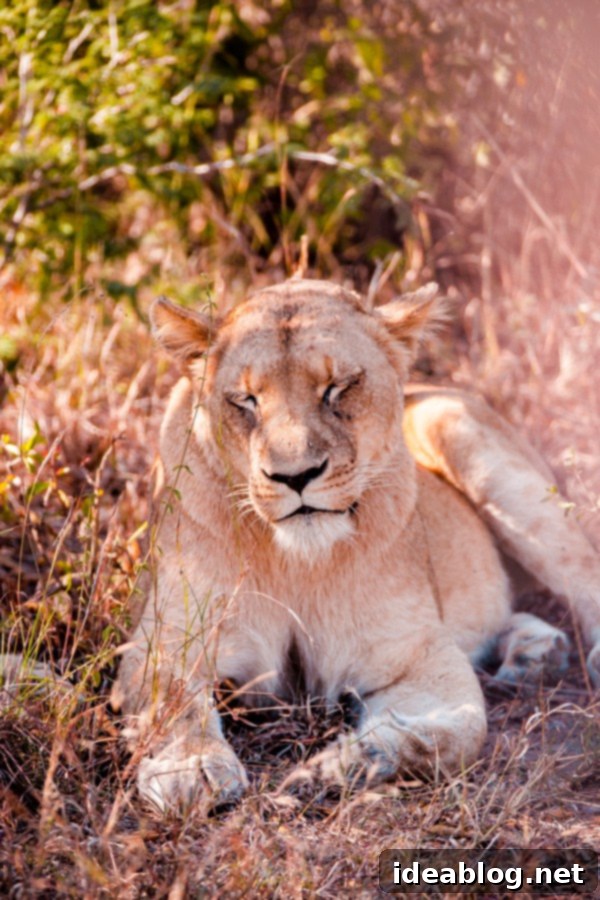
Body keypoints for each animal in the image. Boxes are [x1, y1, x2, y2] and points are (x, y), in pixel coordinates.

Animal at [112, 278, 600, 814]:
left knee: (581, 570)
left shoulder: (416, 654)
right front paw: (192, 768)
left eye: (338, 386)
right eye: (246, 399)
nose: (295, 476)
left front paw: (345, 764)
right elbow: (172, 705)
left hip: (461, 435)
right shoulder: (164, 643)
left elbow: (461, 732)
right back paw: (535, 653)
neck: (297, 561)